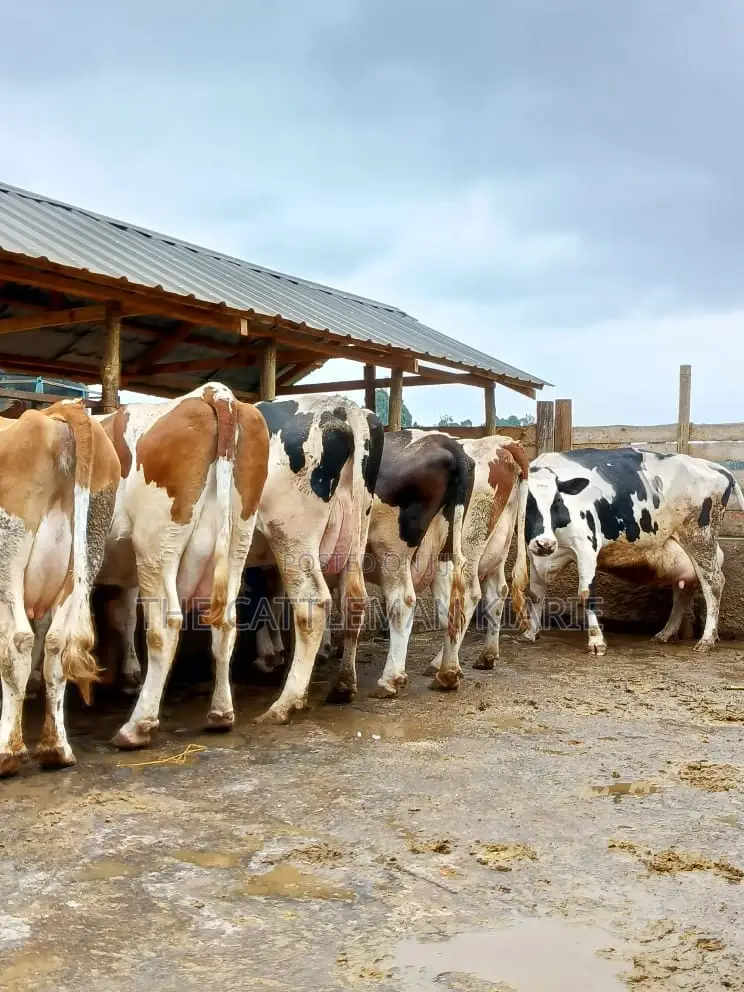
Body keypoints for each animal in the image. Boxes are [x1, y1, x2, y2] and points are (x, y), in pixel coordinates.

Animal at [0, 399, 120, 777]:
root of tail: (56, 413)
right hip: (88, 548)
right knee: (57, 643)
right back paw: (56, 749)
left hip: (8, 551)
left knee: (17, 642)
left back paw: (8, 753)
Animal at [94, 382, 270, 749]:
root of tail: (212, 393)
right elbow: (125, 616)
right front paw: (128, 674)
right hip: (237, 541)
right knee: (226, 621)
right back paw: (220, 713)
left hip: (156, 546)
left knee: (164, 627)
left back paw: (137, 726)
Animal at [510, 446, 744, 655]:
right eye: (527, 502)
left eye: (557, 500)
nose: (546, 544)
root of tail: (715, 466)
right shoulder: (535, 553)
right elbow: (535, 593)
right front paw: (531, 632)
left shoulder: (587, 545)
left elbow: (586, 594)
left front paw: (596, 641)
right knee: (685, 588)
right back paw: (666, 633)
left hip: (700, 538)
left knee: (713, 583)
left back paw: (707, 639)